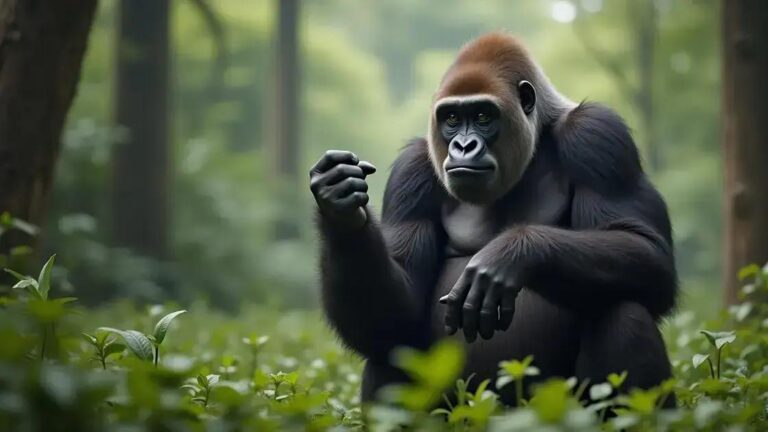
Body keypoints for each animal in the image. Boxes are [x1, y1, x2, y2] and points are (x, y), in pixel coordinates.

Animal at [309, 32, 676, 406]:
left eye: (483, 115)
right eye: (451, 118)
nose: (463, 147)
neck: (540, 130)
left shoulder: (598, 136)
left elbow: (647, 251)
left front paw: (512, 255)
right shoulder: (411, 169)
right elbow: (395, 319)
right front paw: (340, 208)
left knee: (623, 308)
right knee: (390, 347)